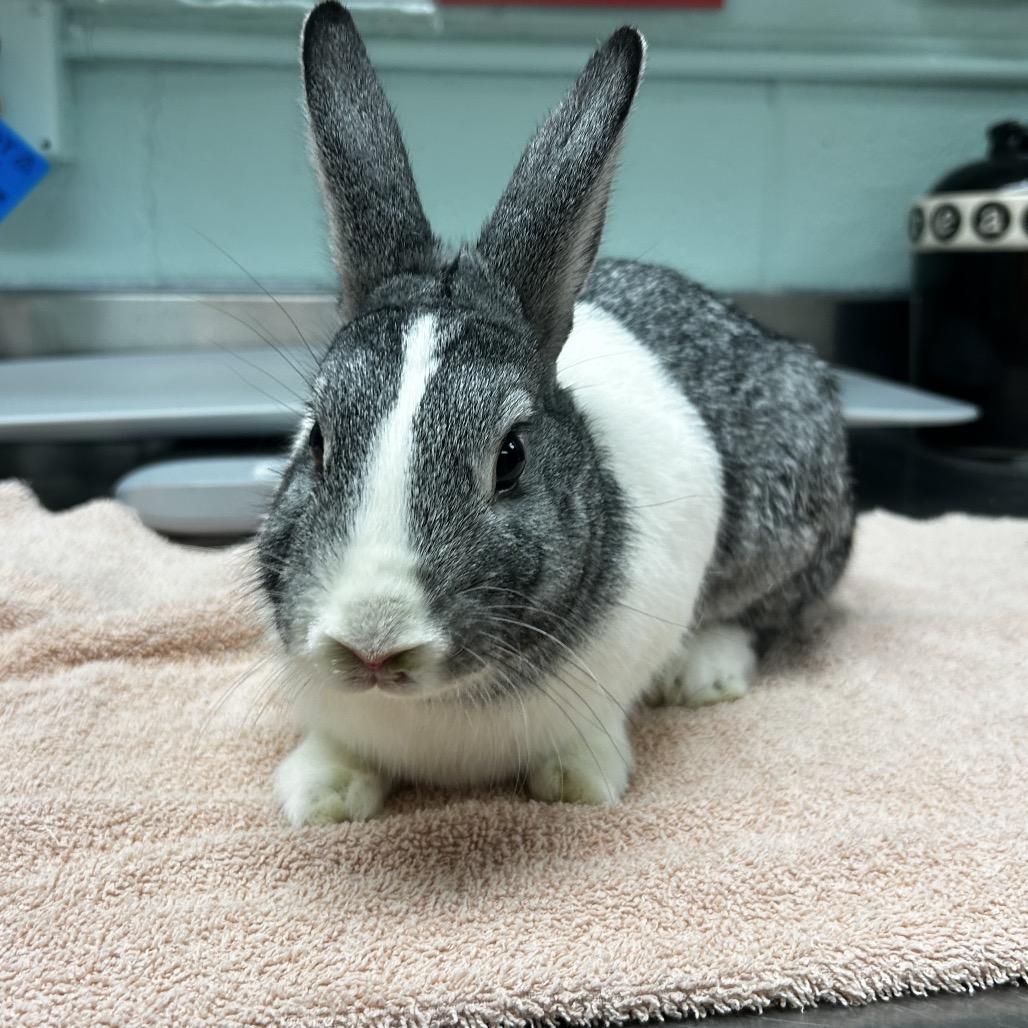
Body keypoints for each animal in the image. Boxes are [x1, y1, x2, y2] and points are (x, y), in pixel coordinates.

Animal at [258, 1, 855, 827]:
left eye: (510, 456)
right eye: (317, 439)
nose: (373, 642)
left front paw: (578, 783)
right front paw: (320, 797)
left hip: (792, 530)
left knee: (769, 612)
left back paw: (702, 673)